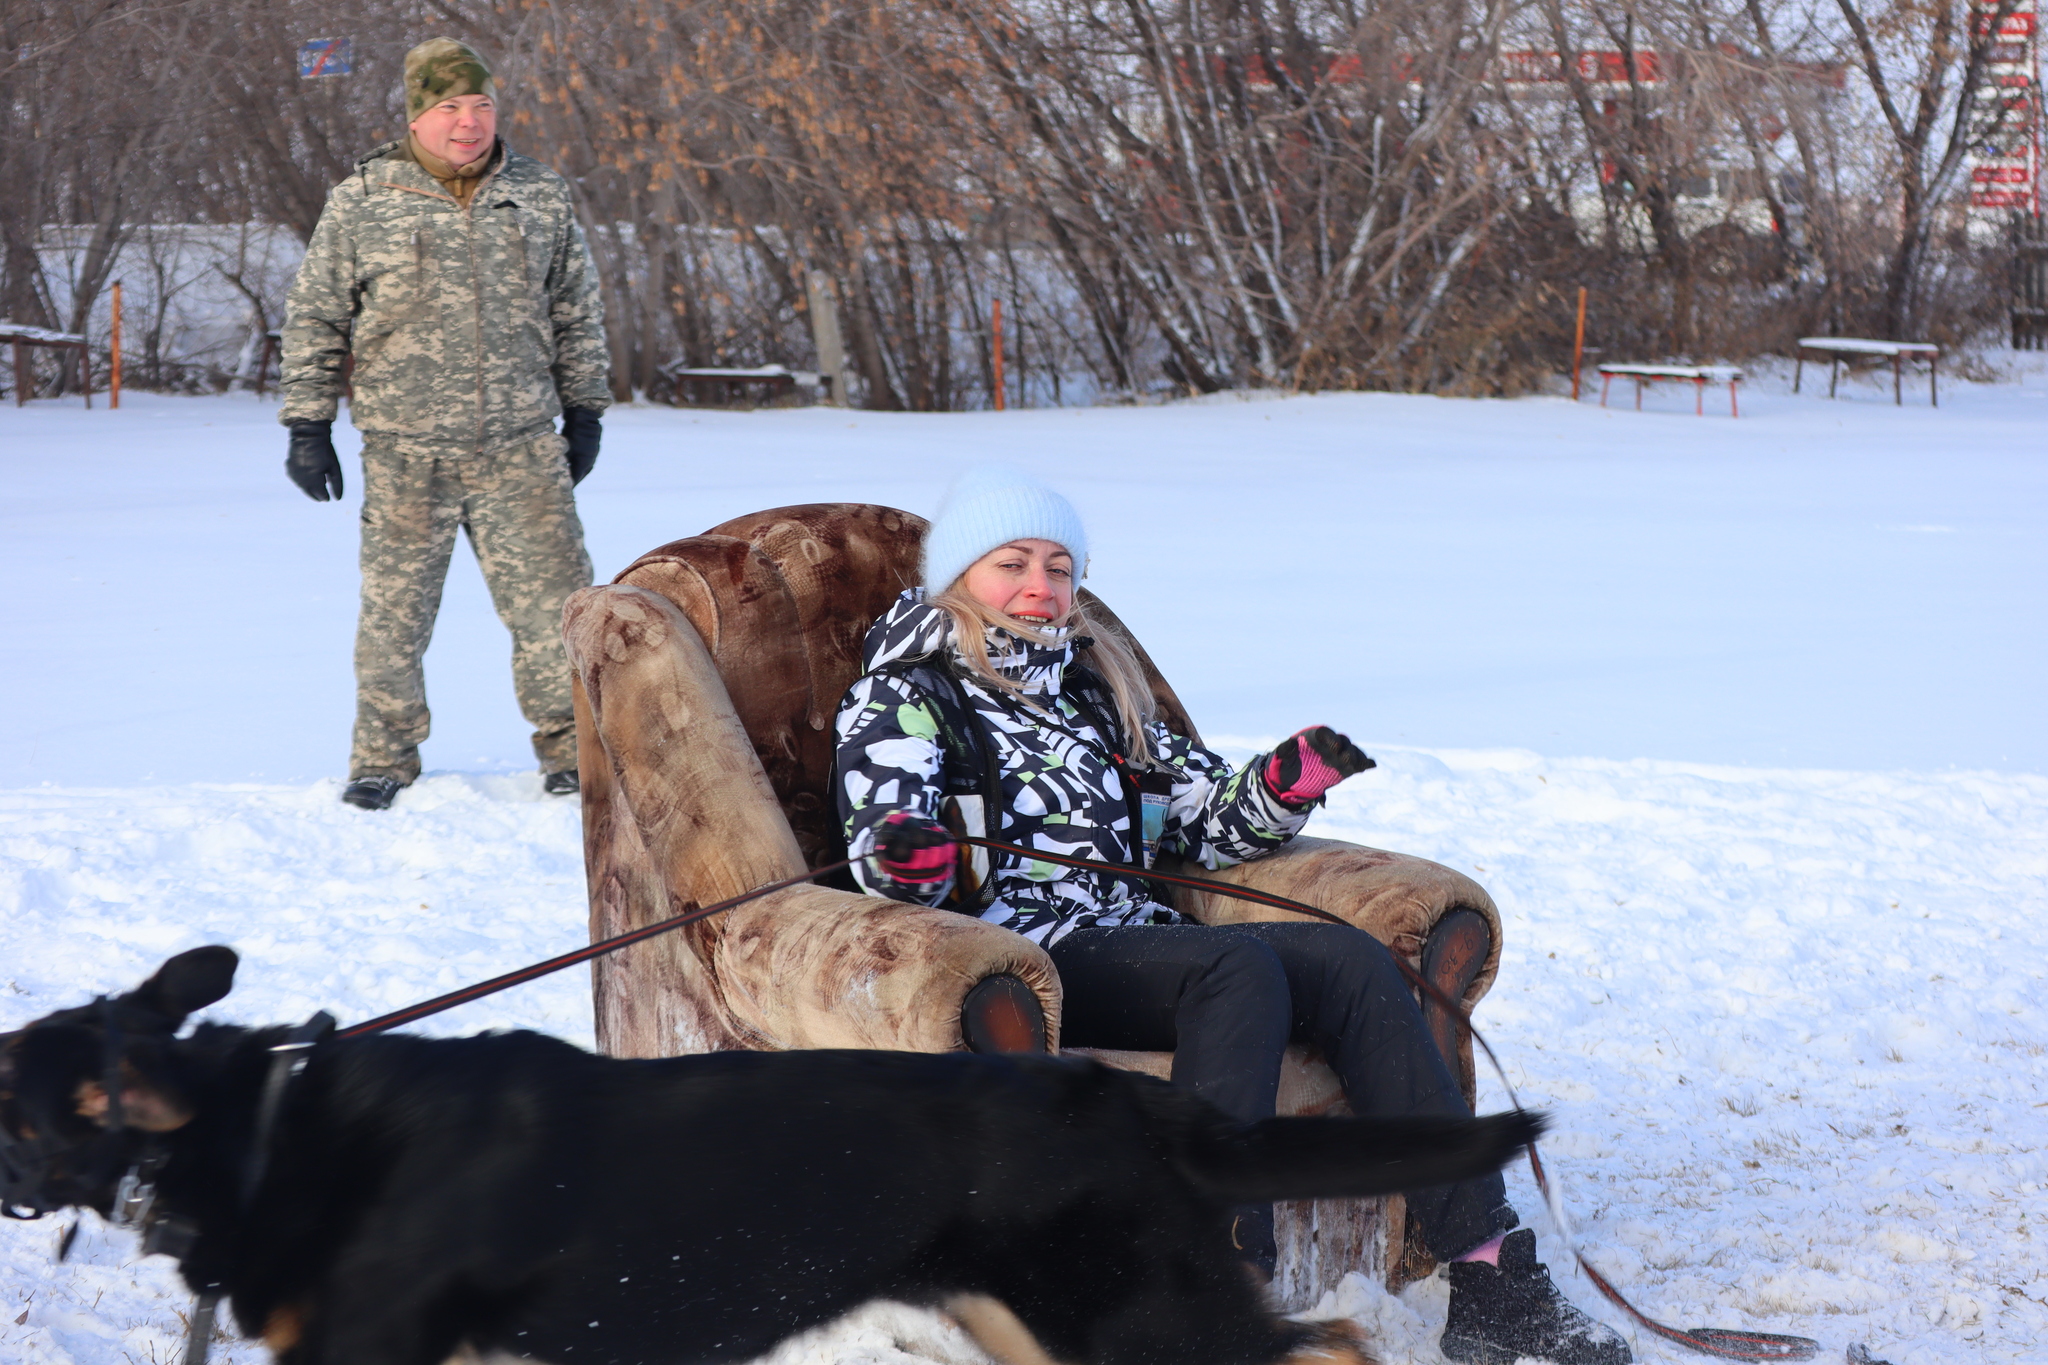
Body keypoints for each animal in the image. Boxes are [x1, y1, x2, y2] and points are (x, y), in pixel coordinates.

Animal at [0, 949, 1540, 1365]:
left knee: (1330, 1343)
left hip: (1134, 1317)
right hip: (1034, 1320)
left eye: (9, 1108)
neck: (270, 1139)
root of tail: (1121, 1097)